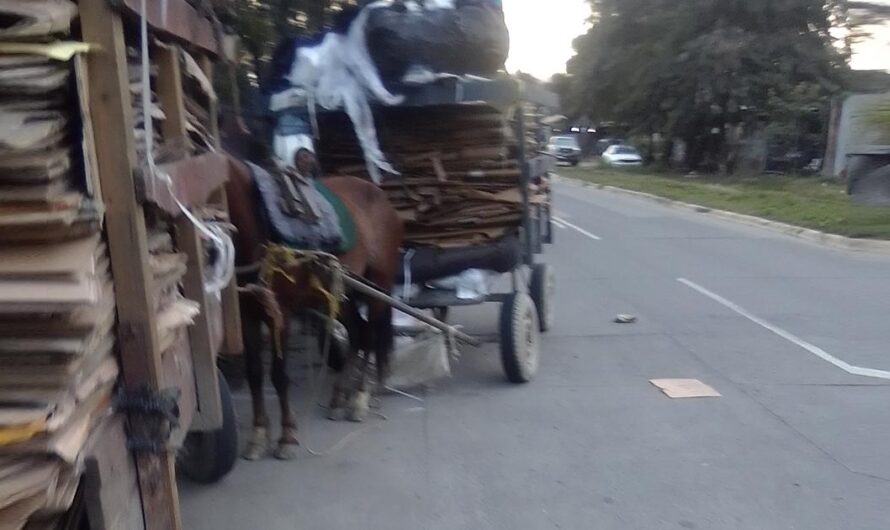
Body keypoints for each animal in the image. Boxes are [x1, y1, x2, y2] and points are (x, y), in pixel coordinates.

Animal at [224, 148, 404, 458]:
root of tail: (380, 197)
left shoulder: (280, 314)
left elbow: (279, 375)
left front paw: (286, 437)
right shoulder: (247, 314)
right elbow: (255, 373)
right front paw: (258, 434)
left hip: (377, 286)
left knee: (369, 334)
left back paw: (359, 398)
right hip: (340, 290)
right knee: (357, 332)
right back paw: (338, 396)